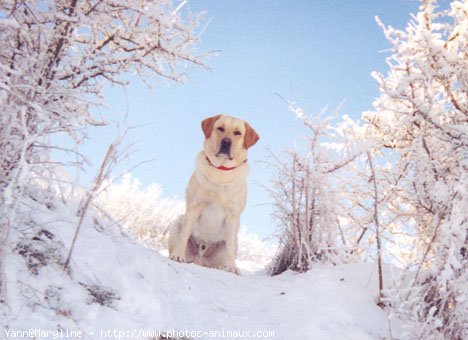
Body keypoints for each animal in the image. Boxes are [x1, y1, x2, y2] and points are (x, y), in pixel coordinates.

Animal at [167, 114, 260, 274]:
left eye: (237, 133)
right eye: (220, 128)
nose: (226, 142)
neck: (221, 172)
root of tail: (200, 259)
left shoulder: (233, 216)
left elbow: (230, 246)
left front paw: (231, 267)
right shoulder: (194, 207)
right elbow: (184, 235)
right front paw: (178, 256)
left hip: (233, 241)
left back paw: (222, 266)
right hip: (178, 221)